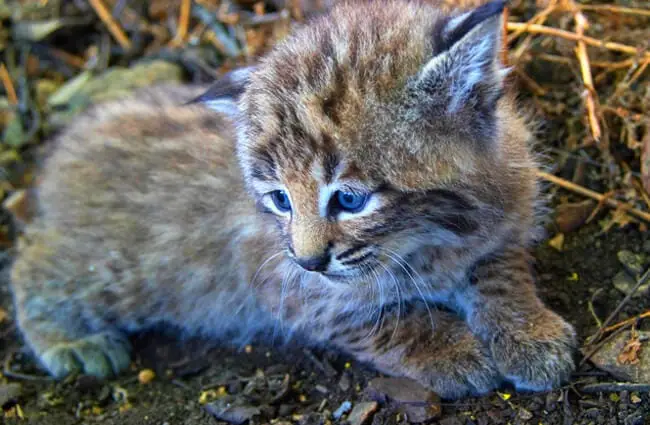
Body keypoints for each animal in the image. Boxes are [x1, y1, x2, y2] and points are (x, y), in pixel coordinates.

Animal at [10, 0, 572, 398]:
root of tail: (69, 140)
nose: (309, 260)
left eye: (350, 199)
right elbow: (378, 320)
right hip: (113, 271)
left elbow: (501, 271)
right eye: (280, 199)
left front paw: (529, 333)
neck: (431, 237)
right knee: (30, 263)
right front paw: (450, 350)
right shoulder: (283, 284)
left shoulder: (507, 213)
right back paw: (70, 342)